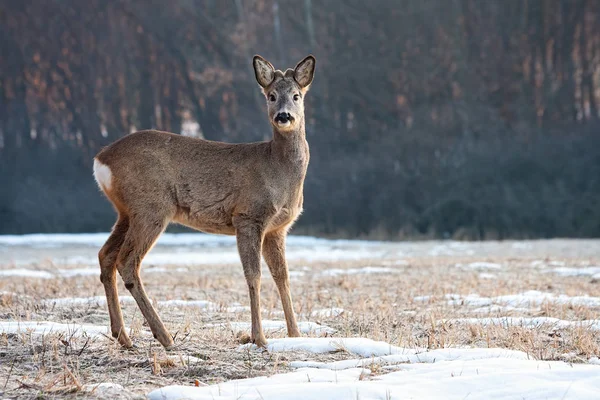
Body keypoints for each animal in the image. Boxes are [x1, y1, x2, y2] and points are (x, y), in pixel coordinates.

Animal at [92, 54, 316, 348]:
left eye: (296, 95)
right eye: (271, 95)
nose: (284, 116)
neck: (277, 169)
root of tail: (101, 160)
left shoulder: (277, 228)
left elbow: (283, 276)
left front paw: (296, 334)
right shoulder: (248, 216)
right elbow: (254, 276)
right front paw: (259, 337)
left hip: (126, 212)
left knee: (105, 255)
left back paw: (124, 337)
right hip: (151, 207)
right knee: (127, 262)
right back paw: (165, 336)